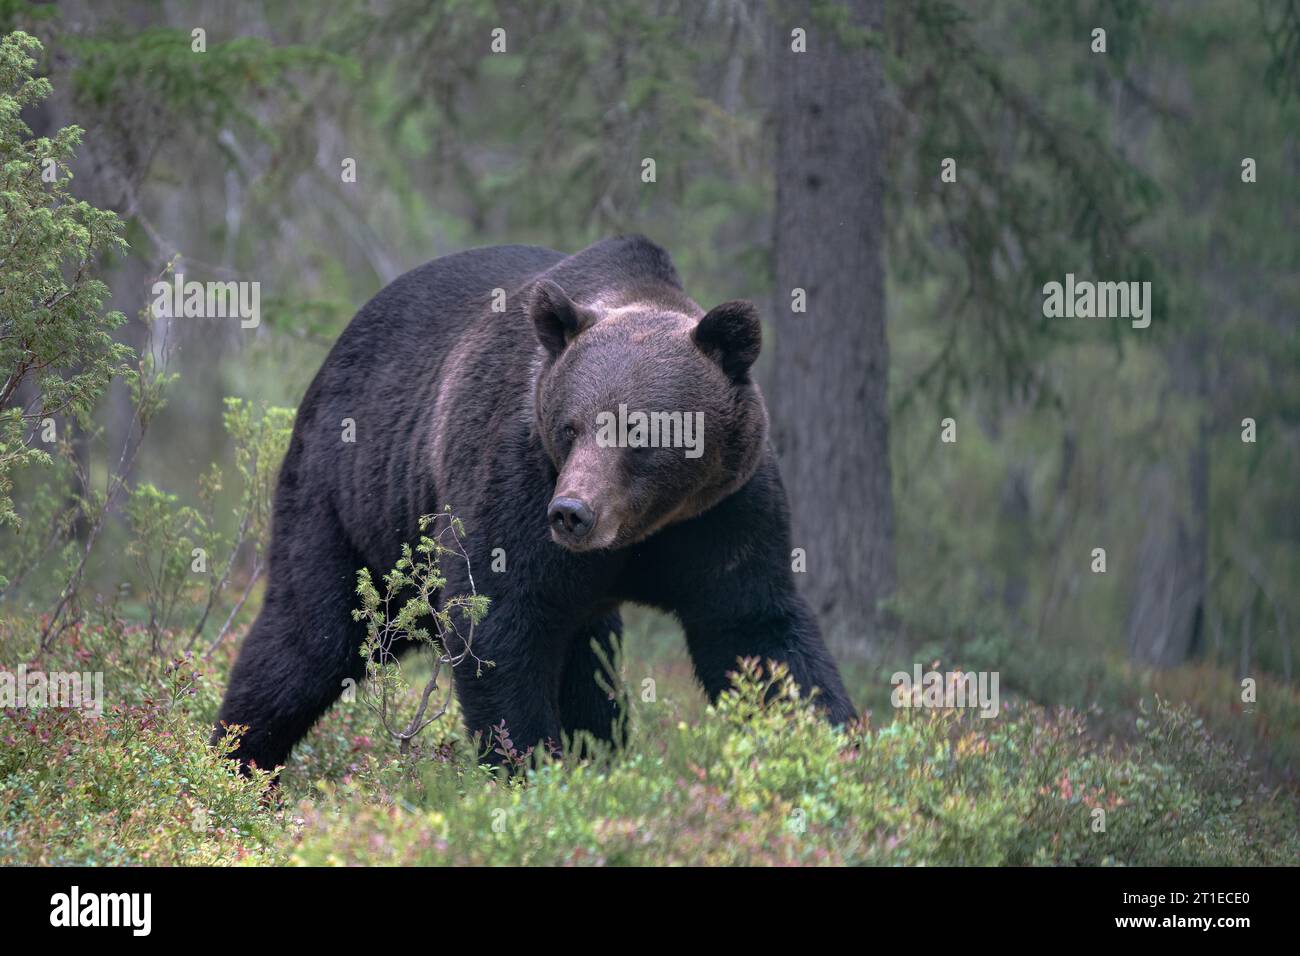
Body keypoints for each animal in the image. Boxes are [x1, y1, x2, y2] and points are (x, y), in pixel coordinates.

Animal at [215, 235, 852, 775]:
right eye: (571, 427)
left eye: (642, 433)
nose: (572, 512)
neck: (643, 531)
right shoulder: (514, 478)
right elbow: (500, 628)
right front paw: (531, 768)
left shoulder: (725, 513)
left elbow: (757, 633)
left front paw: (832, 748)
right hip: (351, 500)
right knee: (309, 639)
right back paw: (238, 762)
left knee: (590, 667)